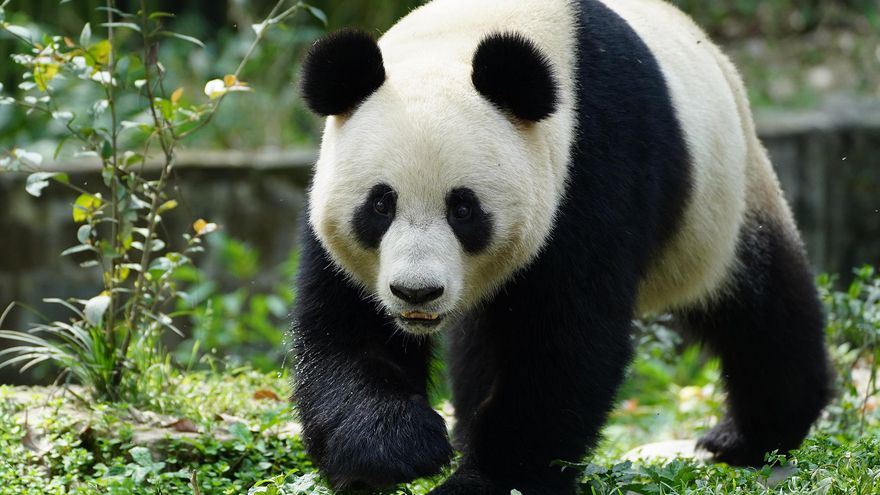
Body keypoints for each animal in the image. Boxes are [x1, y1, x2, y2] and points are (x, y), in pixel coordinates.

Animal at [291, 0, 833, 493]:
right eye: (381, 205)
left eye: (463, 209)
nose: (416, 293)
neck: (464, 36)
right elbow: (346, 328)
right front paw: (393, 448)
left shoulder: (594, 158)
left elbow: (568, 338)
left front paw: (489, 479)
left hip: (724, 200)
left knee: (762, 309)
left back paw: (749, 437)